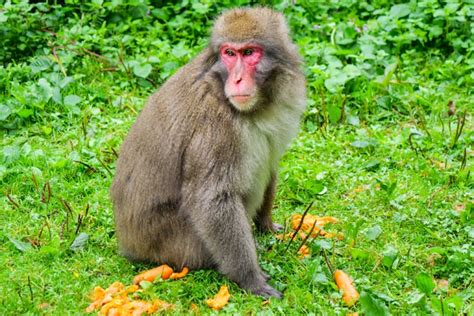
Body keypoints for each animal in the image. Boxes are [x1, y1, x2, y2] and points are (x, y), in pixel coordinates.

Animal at [109, 7, 306, 298]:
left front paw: (267, 227)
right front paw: (251, 279)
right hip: (175, 243)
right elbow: (212, 199)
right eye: (229, 53)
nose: (237, 79)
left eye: (249, 52)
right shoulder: (215, 128)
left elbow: (271, 165)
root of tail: (129, 243)